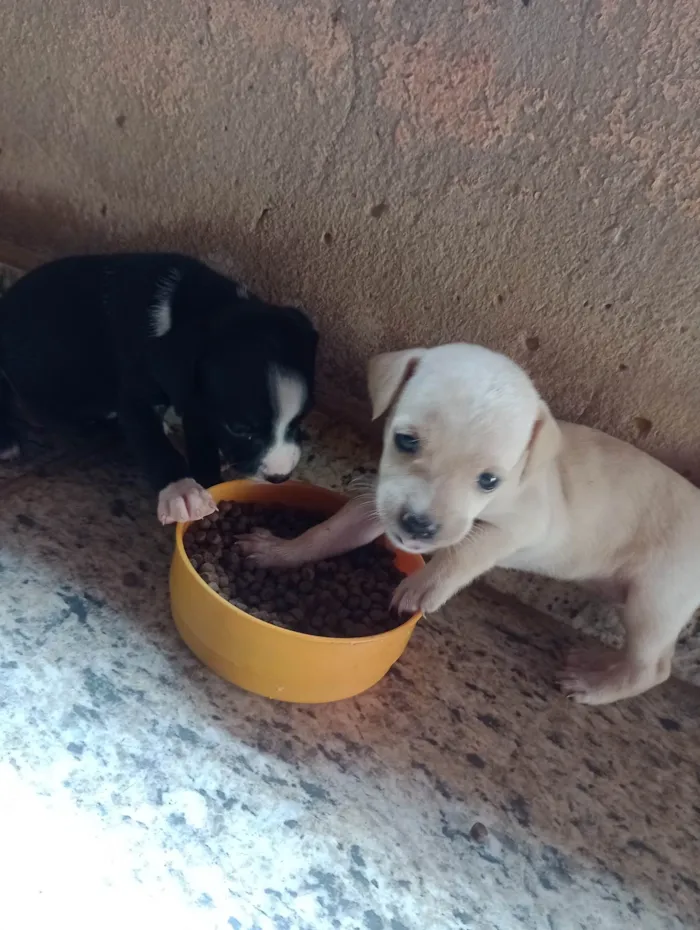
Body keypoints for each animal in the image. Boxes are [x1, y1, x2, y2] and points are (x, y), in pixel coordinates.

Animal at [0, 254, 318, 520]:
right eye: (240, 429)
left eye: (300, 420)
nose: (279, 477)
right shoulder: (137, 399)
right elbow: (154, 444)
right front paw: (182, 490)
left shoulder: (198, 403)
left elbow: (202, 446)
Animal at [239, 342, 700, 704]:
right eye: (405, 440)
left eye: (489, 480)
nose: (419, 526)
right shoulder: (378, 505)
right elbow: (328, 533)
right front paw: (278, 550)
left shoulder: (520, 527)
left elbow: (466, 549)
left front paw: (424, 586)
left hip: (656, 598)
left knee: (653, 666)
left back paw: (593, 684)